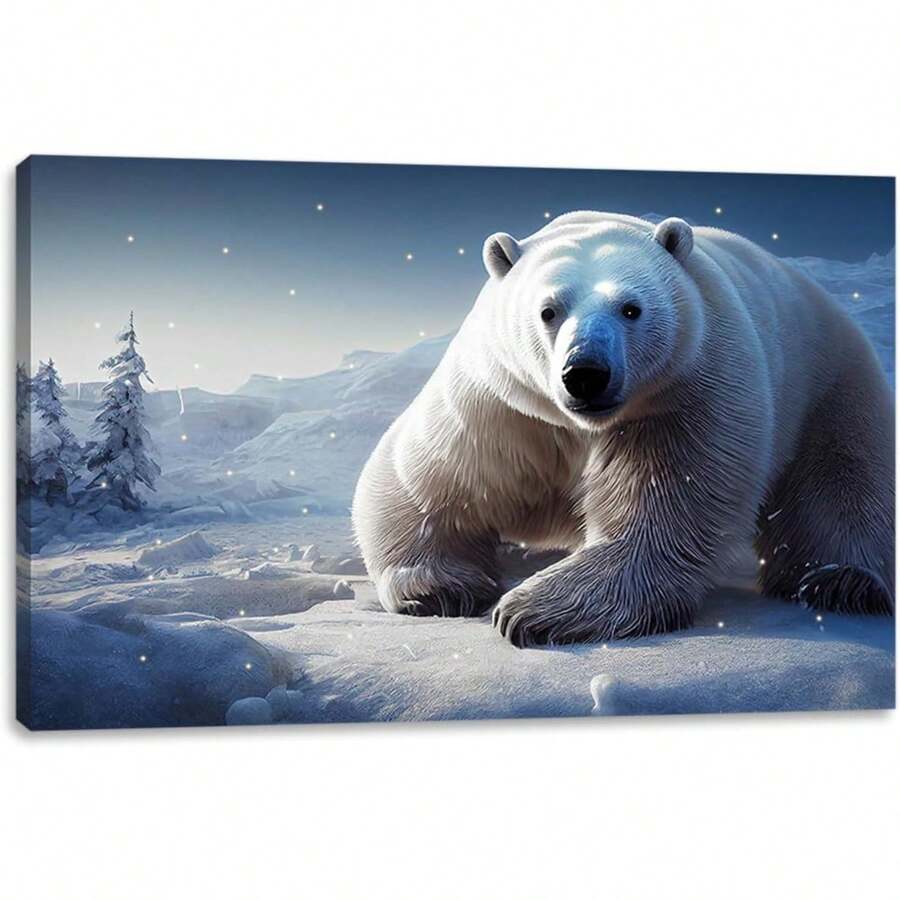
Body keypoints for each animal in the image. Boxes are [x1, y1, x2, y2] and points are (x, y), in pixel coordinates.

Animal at [352, 211, 894, 647]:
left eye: (631, 308)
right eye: (548, 310)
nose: (585, 373)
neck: (578, 424)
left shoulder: (686, 393)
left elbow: (660, 516)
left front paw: (531, 610)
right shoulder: (500, 408)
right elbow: (426, 482)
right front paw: (443, 589)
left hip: (831, 384)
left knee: (842, 480)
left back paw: (841, 581)